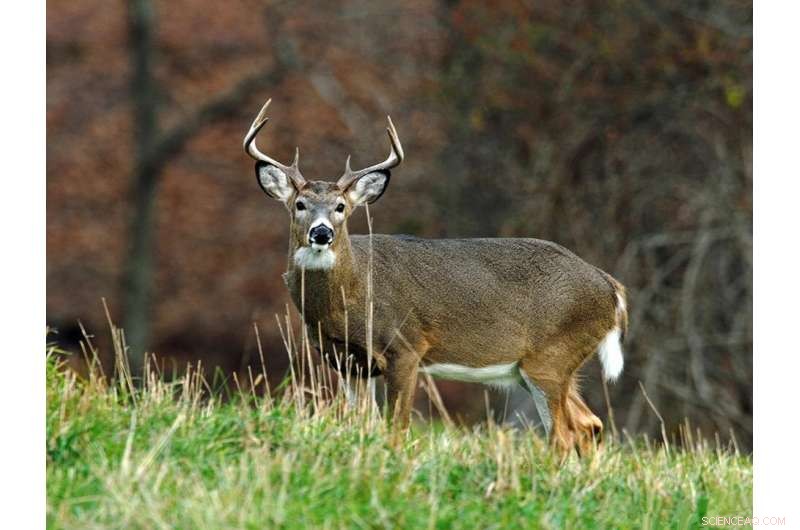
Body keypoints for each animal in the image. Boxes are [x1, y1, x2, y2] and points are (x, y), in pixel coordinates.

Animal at [243, 99, 628, 455]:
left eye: (341, 207)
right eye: (300, 205)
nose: (321, 233)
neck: (351, 295)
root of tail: (611, 288)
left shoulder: (406, 346)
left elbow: (395, 428)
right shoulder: (345, 360)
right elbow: (360, 422)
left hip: (552, 356)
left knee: (563, 434)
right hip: (535, 367)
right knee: (588, 424)